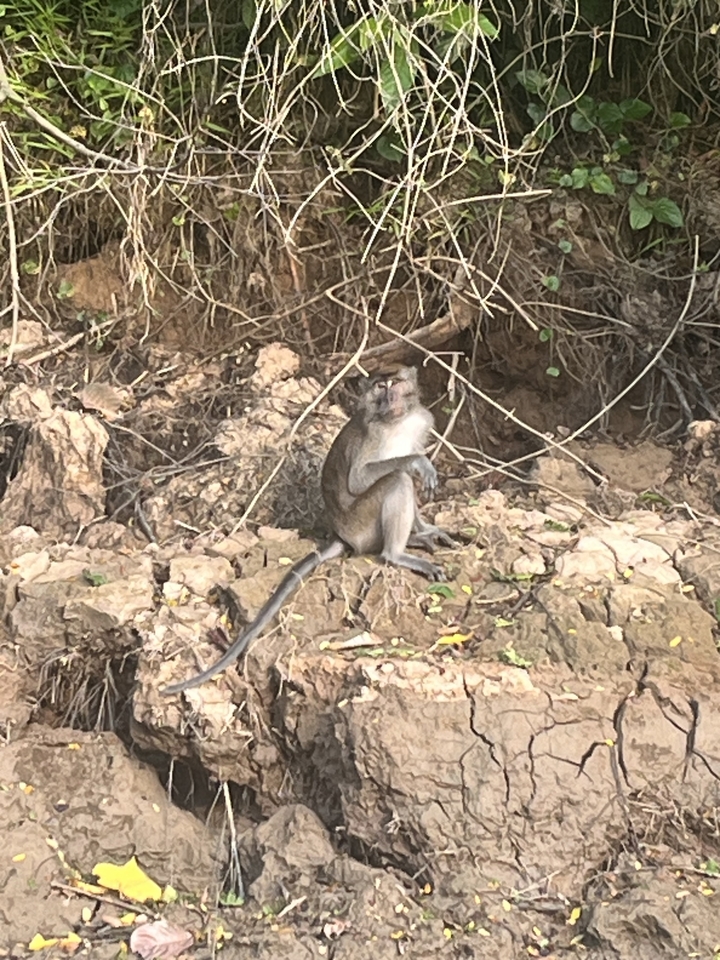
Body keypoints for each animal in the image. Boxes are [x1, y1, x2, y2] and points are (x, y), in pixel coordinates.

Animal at [162, 366, 453, 696]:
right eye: (381, 386)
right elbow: (361, 479)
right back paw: (396, 554)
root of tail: (341, 535)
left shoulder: (421, 421)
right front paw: (420, 464)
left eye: (397, 383)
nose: (390, 397)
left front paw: (426, 528)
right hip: (362, 525)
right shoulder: (374, 433)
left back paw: (414, 538)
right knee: (397, 479)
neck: (397, 420)